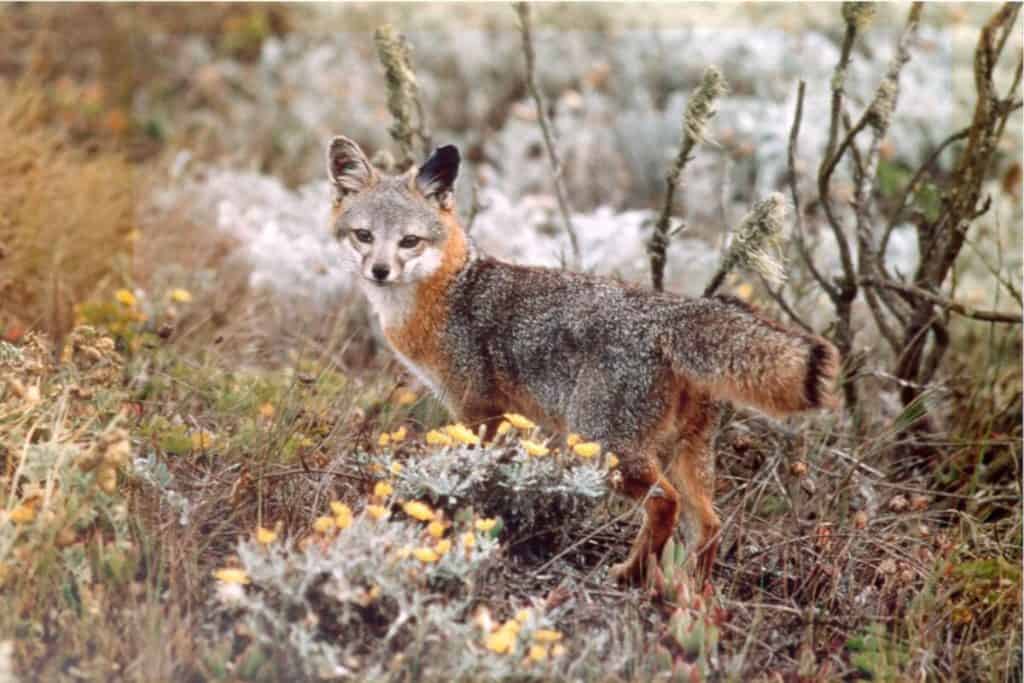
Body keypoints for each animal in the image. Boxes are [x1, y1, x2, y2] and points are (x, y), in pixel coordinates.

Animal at [326, 136, 840, 585]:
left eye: (409, 241)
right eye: (364, 236)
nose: (380, 270)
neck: (449, 292)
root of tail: (672, 311)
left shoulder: (477, 410)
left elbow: (475, 471)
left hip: (604, 445)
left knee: (665, 504)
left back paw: (631, 575)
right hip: (686, 454)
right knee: (710, 523)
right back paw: (690, 594)